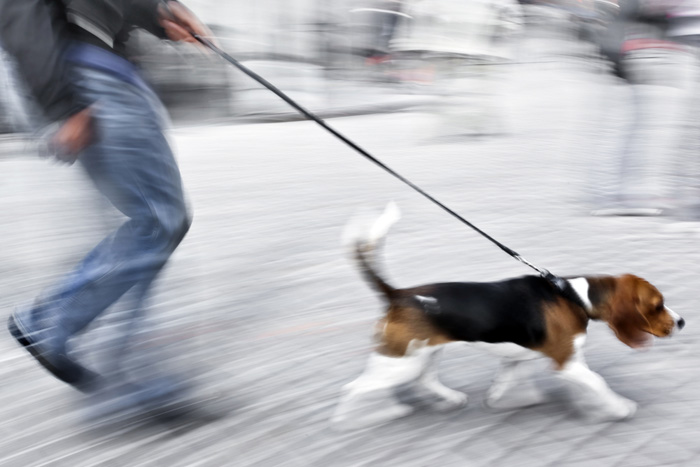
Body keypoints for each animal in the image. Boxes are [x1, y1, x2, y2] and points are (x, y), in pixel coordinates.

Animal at [334, 203, 684, 430]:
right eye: (657, 305)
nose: (682, 322)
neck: (573, 295)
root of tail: (397, 293)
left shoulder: (519, 356)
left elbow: (506, 377)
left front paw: (499, 399)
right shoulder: (567, 362)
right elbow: (597, 381)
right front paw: (619, 408)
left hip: (424, 353)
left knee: (425, 378)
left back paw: (450, 398)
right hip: (398, 362)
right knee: (354, 388)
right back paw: (355, 419)